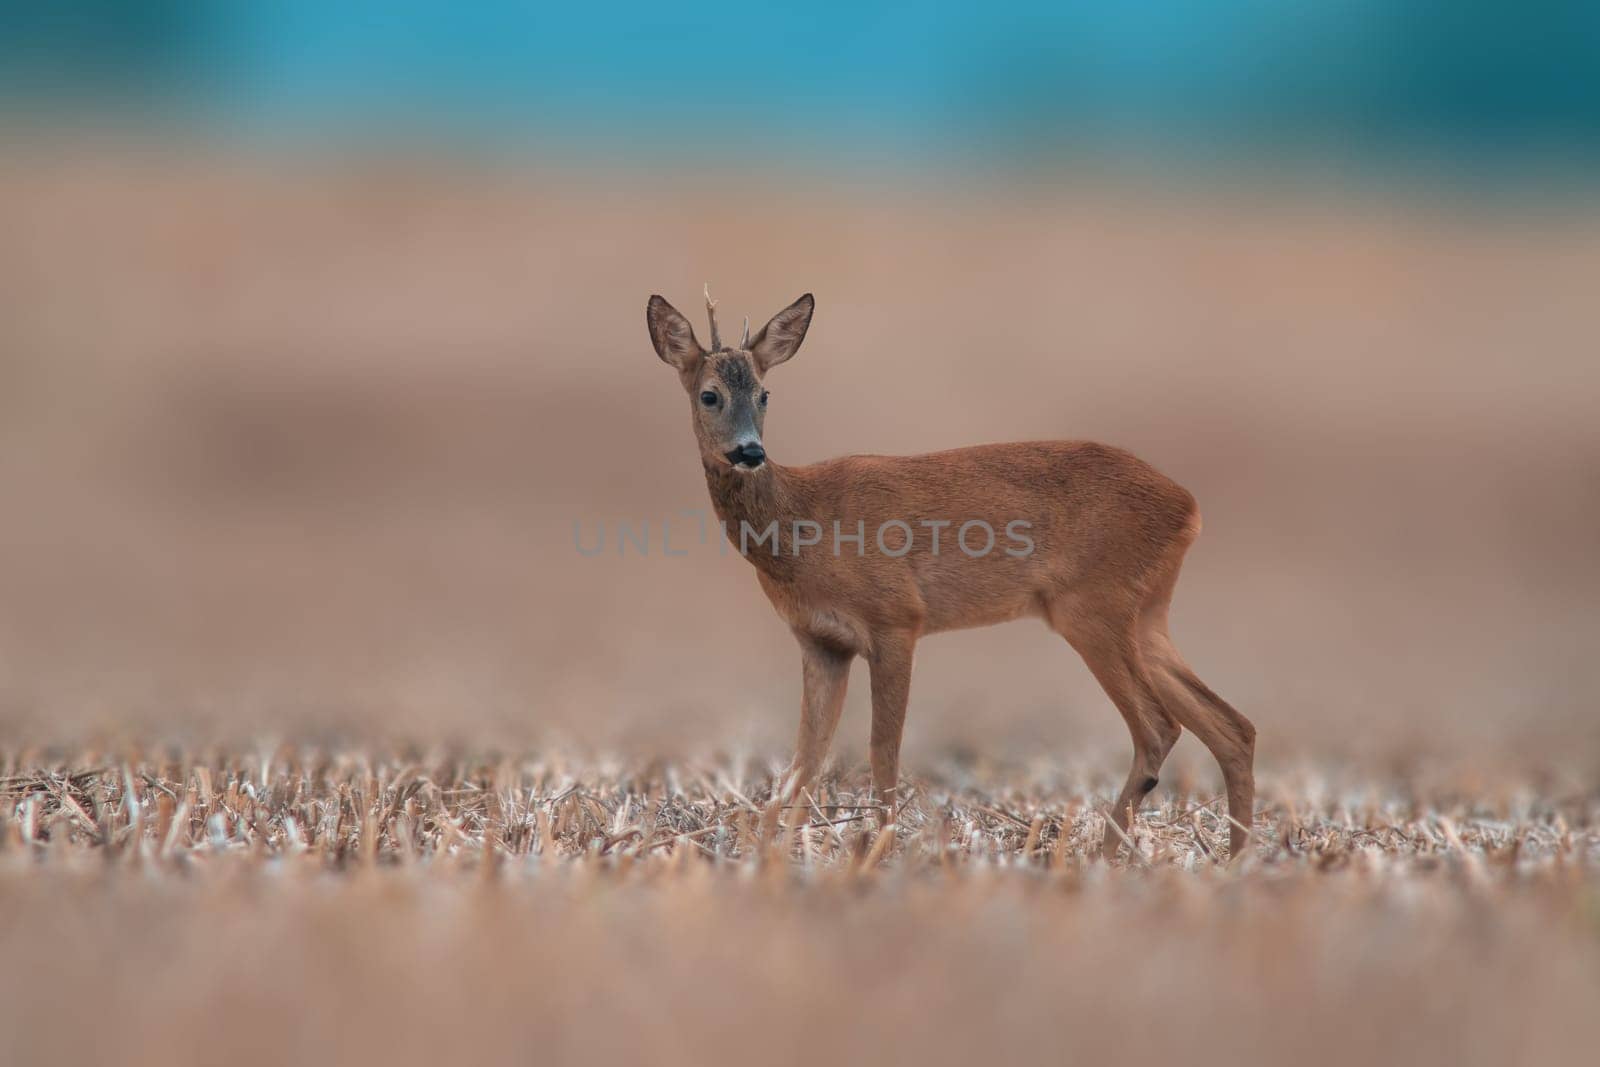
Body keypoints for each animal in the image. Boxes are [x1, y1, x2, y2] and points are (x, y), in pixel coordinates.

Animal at [643, 286, 1254, 857]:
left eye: (764, 394)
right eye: (710, 395)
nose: (750, 452)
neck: (803, 524)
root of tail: (1189, 507)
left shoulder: (896, 618)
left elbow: (882, 751)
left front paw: (880, 848)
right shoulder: (821, 641)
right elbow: (805, 760)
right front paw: (773, 850)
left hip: (1093, 606)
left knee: (1158, 726)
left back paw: (1108, 856)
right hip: (1146, 613)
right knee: (1231, 725)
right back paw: (1235, 858)